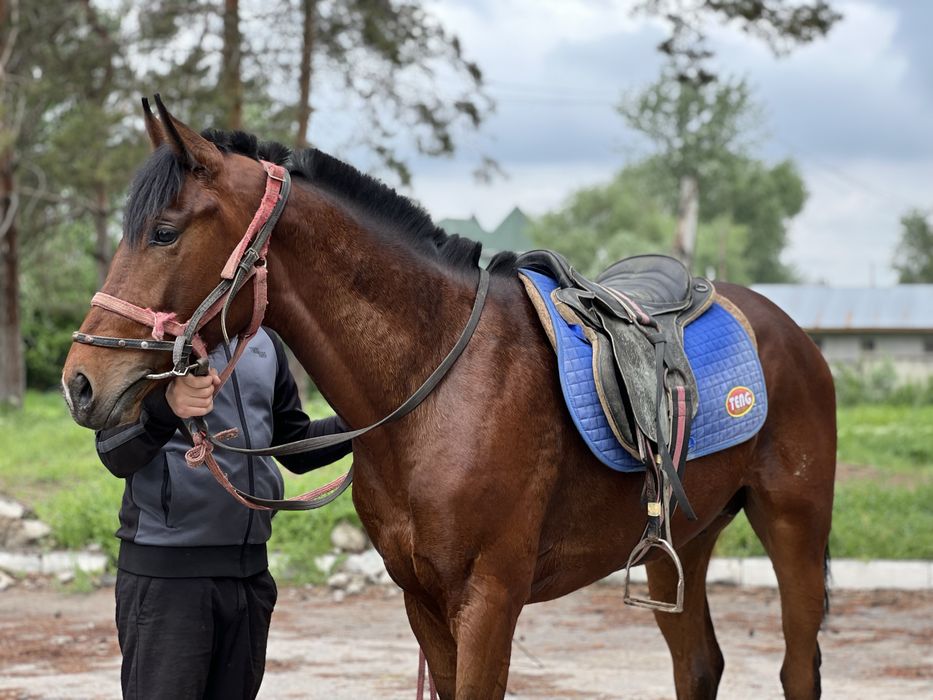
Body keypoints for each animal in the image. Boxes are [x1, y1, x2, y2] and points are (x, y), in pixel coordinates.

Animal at [62, 100, 836, 699]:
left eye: (163, 233)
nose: (81, 381)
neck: (436, 385)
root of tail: (790, 334)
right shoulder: (423, 602)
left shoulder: (488, 600)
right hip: (680, 545)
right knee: (699, 666)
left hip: (793, 527)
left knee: (797, 670)